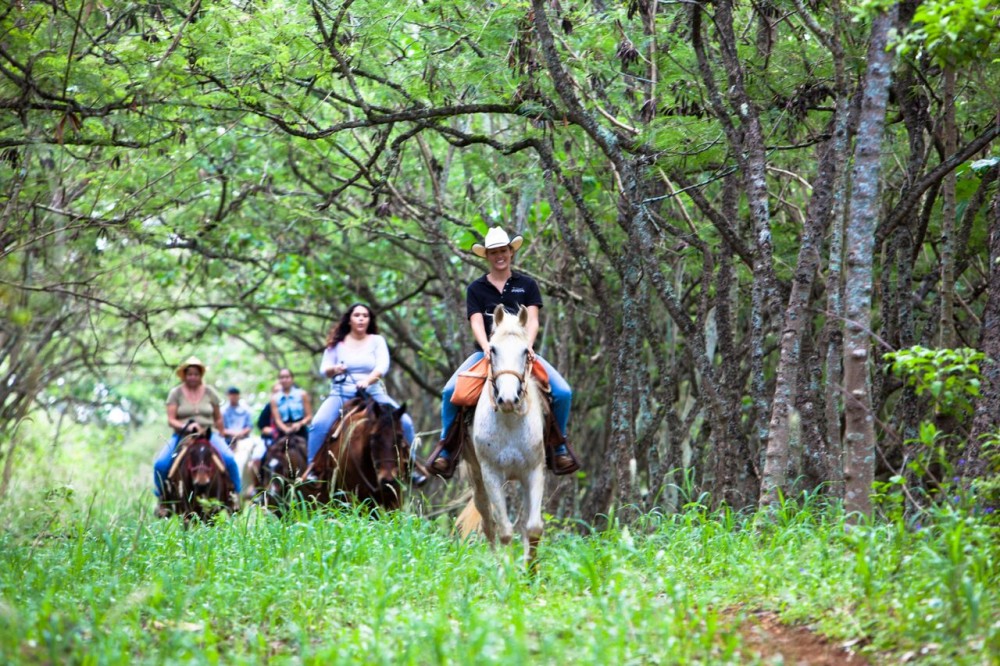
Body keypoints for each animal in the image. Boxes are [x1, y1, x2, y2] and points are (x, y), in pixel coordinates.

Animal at [462, 304, 548, 564]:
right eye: (493, 349)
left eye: (525, 351)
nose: (508, 399)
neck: (510, 420)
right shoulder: (491, 474)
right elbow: (505, 531)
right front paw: (506, 570)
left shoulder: (534, 471)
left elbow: (533, 527)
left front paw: (530, 569)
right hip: (476, 477)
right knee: (488, 523)